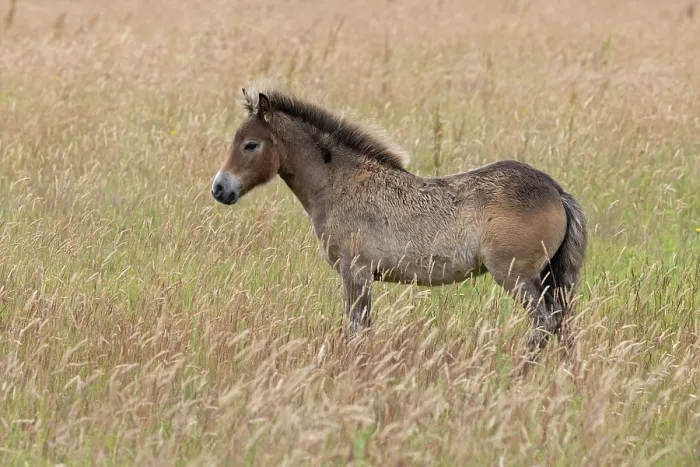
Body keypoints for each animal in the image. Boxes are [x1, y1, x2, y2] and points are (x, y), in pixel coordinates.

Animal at [211, 87, 587, 359]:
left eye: (250, 144)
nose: (219, 188)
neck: (340, 184)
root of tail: (556, 191)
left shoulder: (356, 271)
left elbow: (357, 329)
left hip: (515, 275)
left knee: (545, 321)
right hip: (550, 275)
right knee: (563, 322)